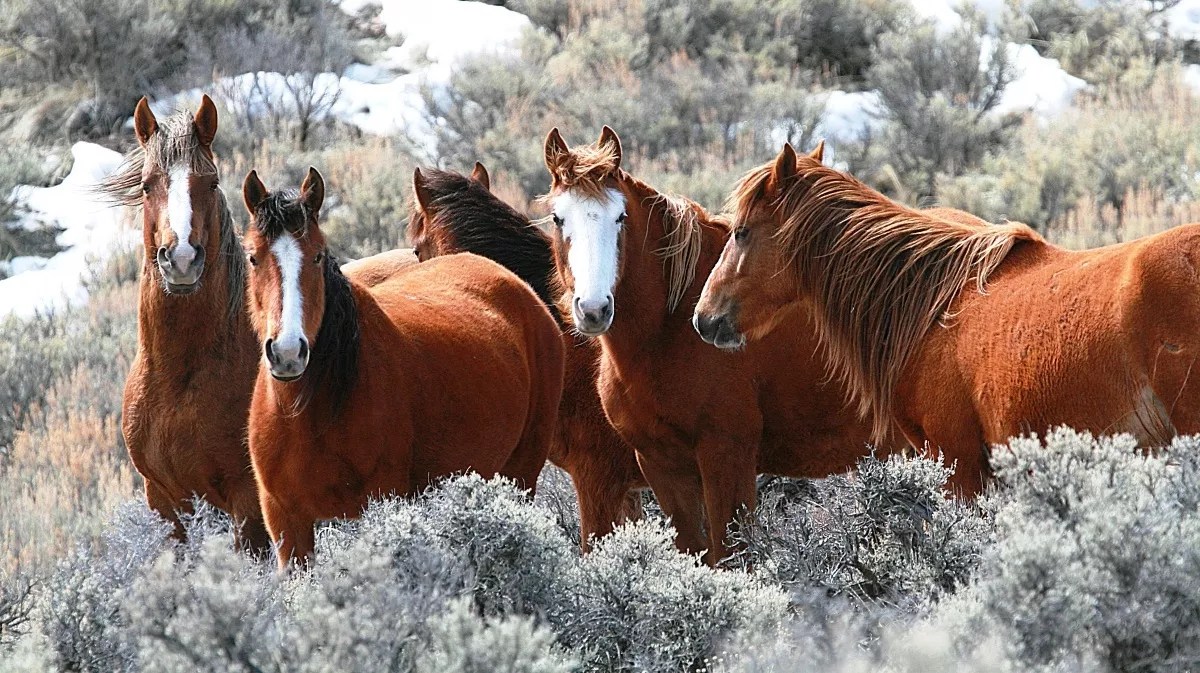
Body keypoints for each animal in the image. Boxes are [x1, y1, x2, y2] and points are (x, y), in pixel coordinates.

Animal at [242, 168, 565, 568]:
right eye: (252, 257)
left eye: (317, 256)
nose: (288, 352)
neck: (310, 413)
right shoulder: (286, 523)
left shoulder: (379, 503)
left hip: (521, 475)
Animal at [541, 127, 883, 563]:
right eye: (557, 217)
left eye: (620, 217)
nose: (594, 308)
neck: (667, 331)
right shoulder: (661, 466)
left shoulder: (726, 459)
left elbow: (731, 559)